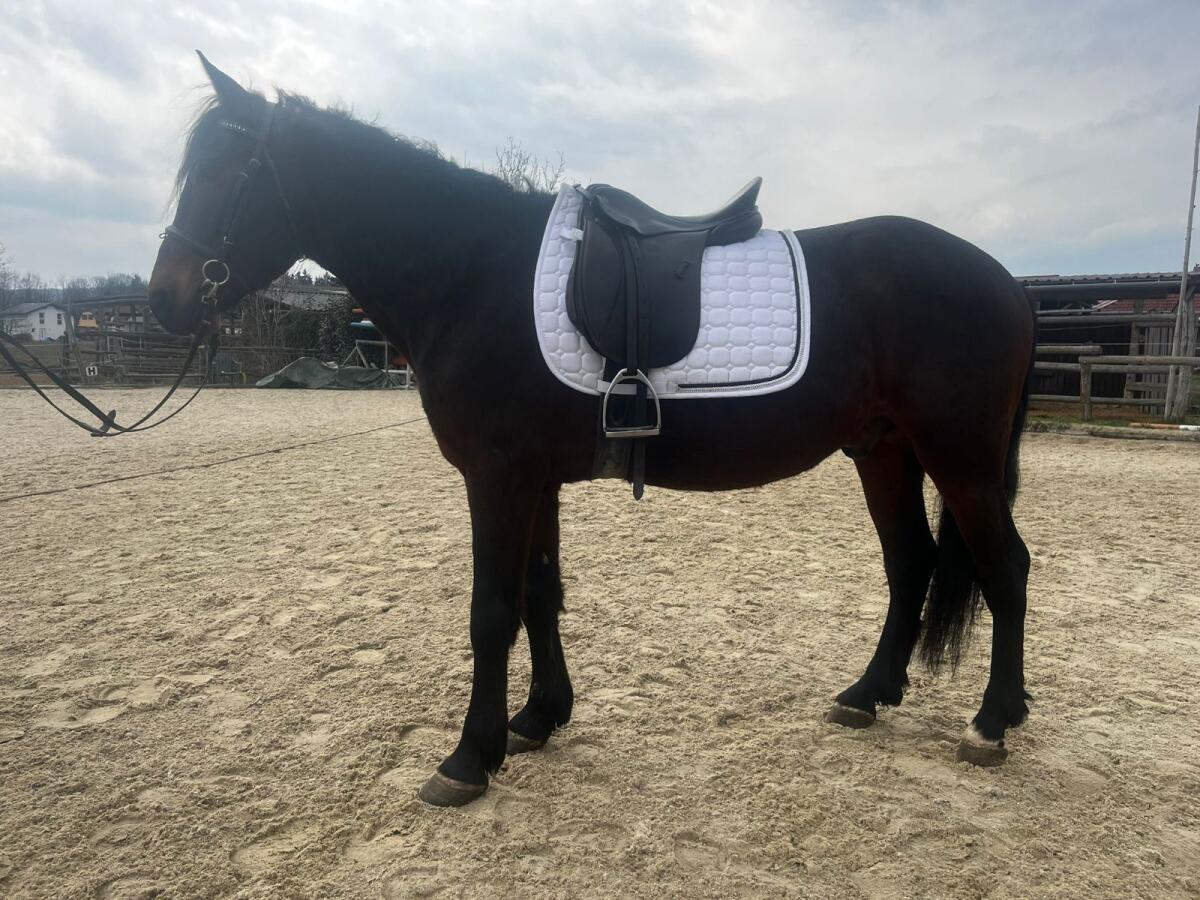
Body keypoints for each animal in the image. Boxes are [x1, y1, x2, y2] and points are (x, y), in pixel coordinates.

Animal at [148, 54, 1036, 807]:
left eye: (227, 174)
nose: (164, 301)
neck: (472, 272)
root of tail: (1004, 280)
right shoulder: (533, 477)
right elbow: (541, 594)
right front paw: (538, 718)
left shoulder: (497, 476)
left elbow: (491, 610)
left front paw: (467, 759)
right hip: (884, 450)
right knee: (911, 564)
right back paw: (868, 695)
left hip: (958, 457)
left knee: (1005, 568)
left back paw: (991, 724)